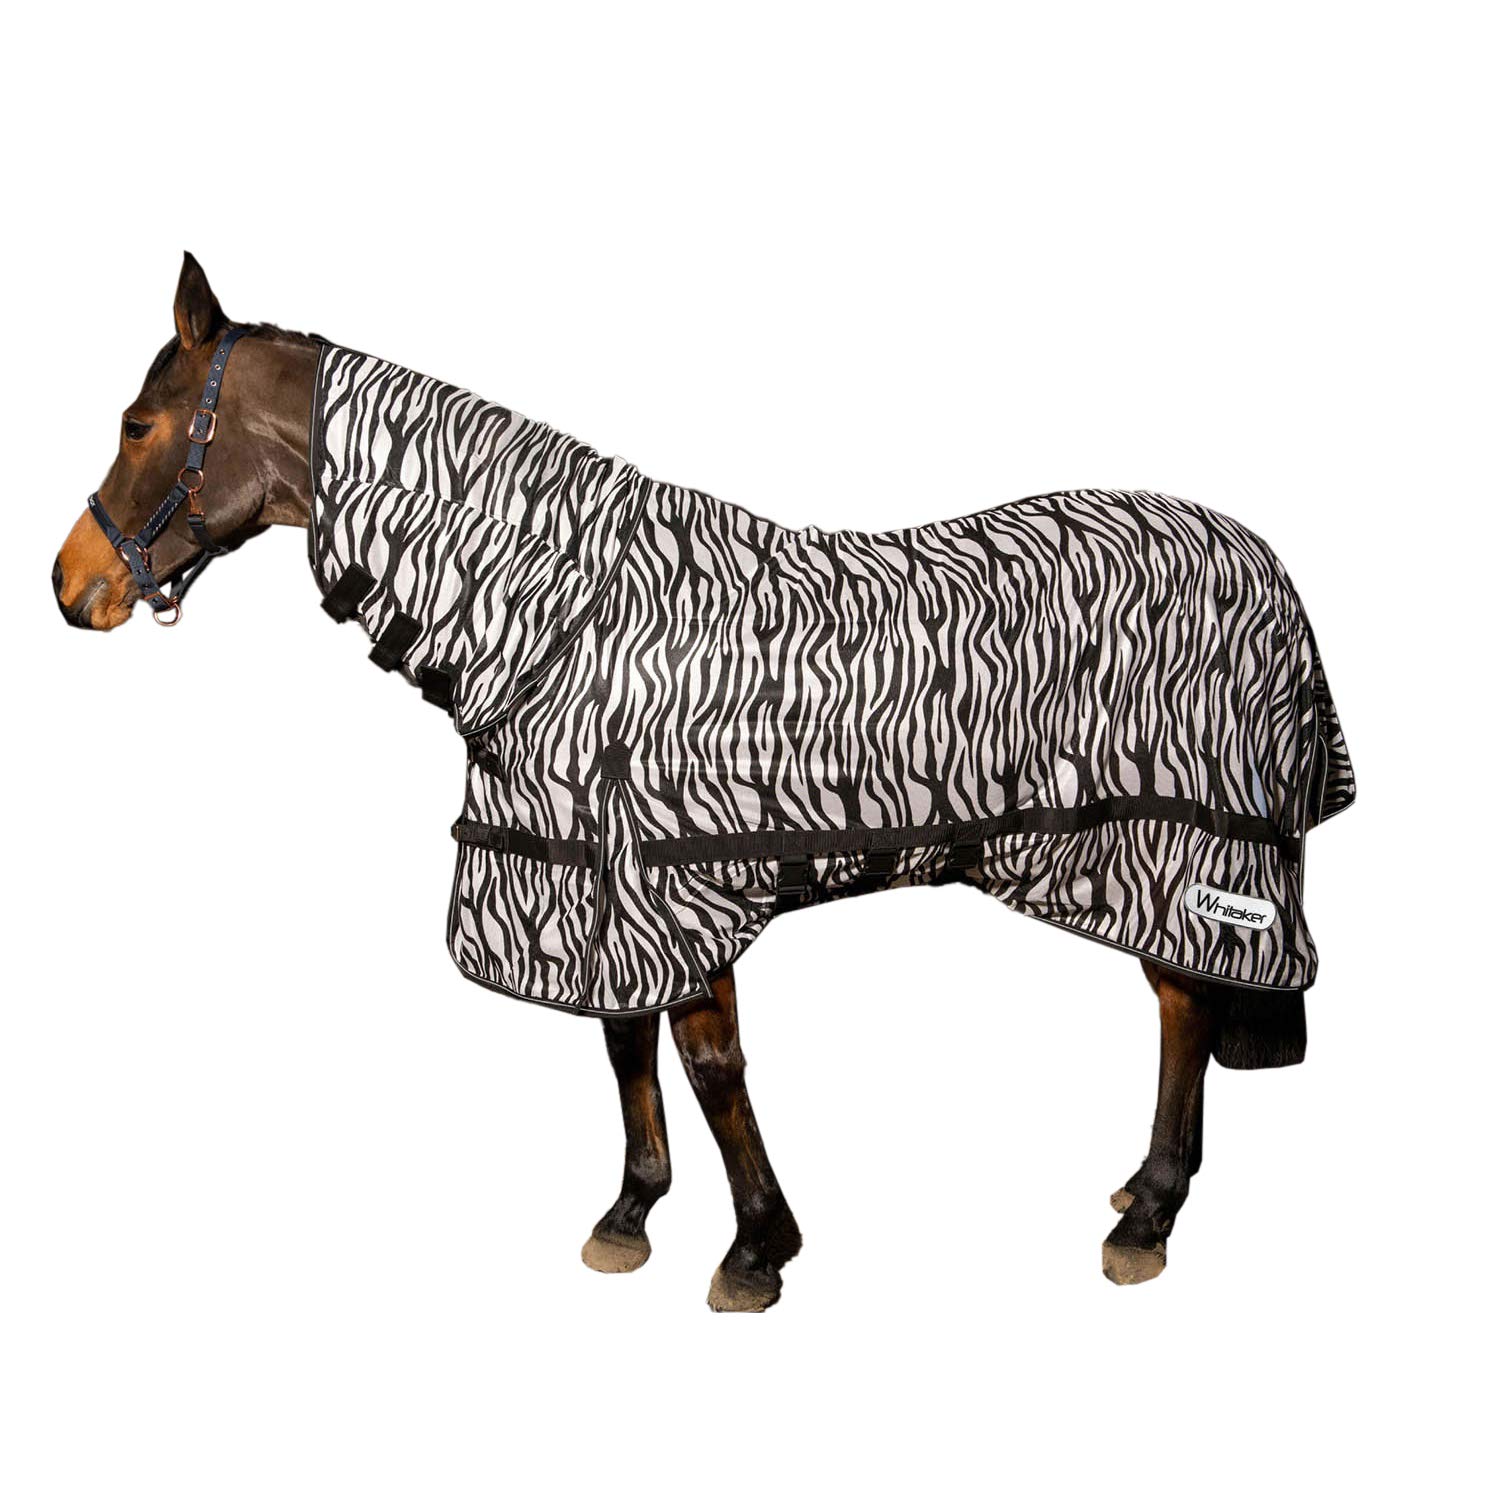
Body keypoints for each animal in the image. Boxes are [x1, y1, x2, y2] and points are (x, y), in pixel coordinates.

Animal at [54, 253, 1353, 1307]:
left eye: (136, 424)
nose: (70, 588)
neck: (565, 616)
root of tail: (1262, 560)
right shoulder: (594, 877)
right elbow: (626, 1045)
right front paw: (631, 1213)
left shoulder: (679, 880)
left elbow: (711, 1065)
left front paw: (755, 1251)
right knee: (1190, 998)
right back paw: (1142, 1192)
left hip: (1180, 846)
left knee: (1185, 1004)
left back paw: (1151, 1217)